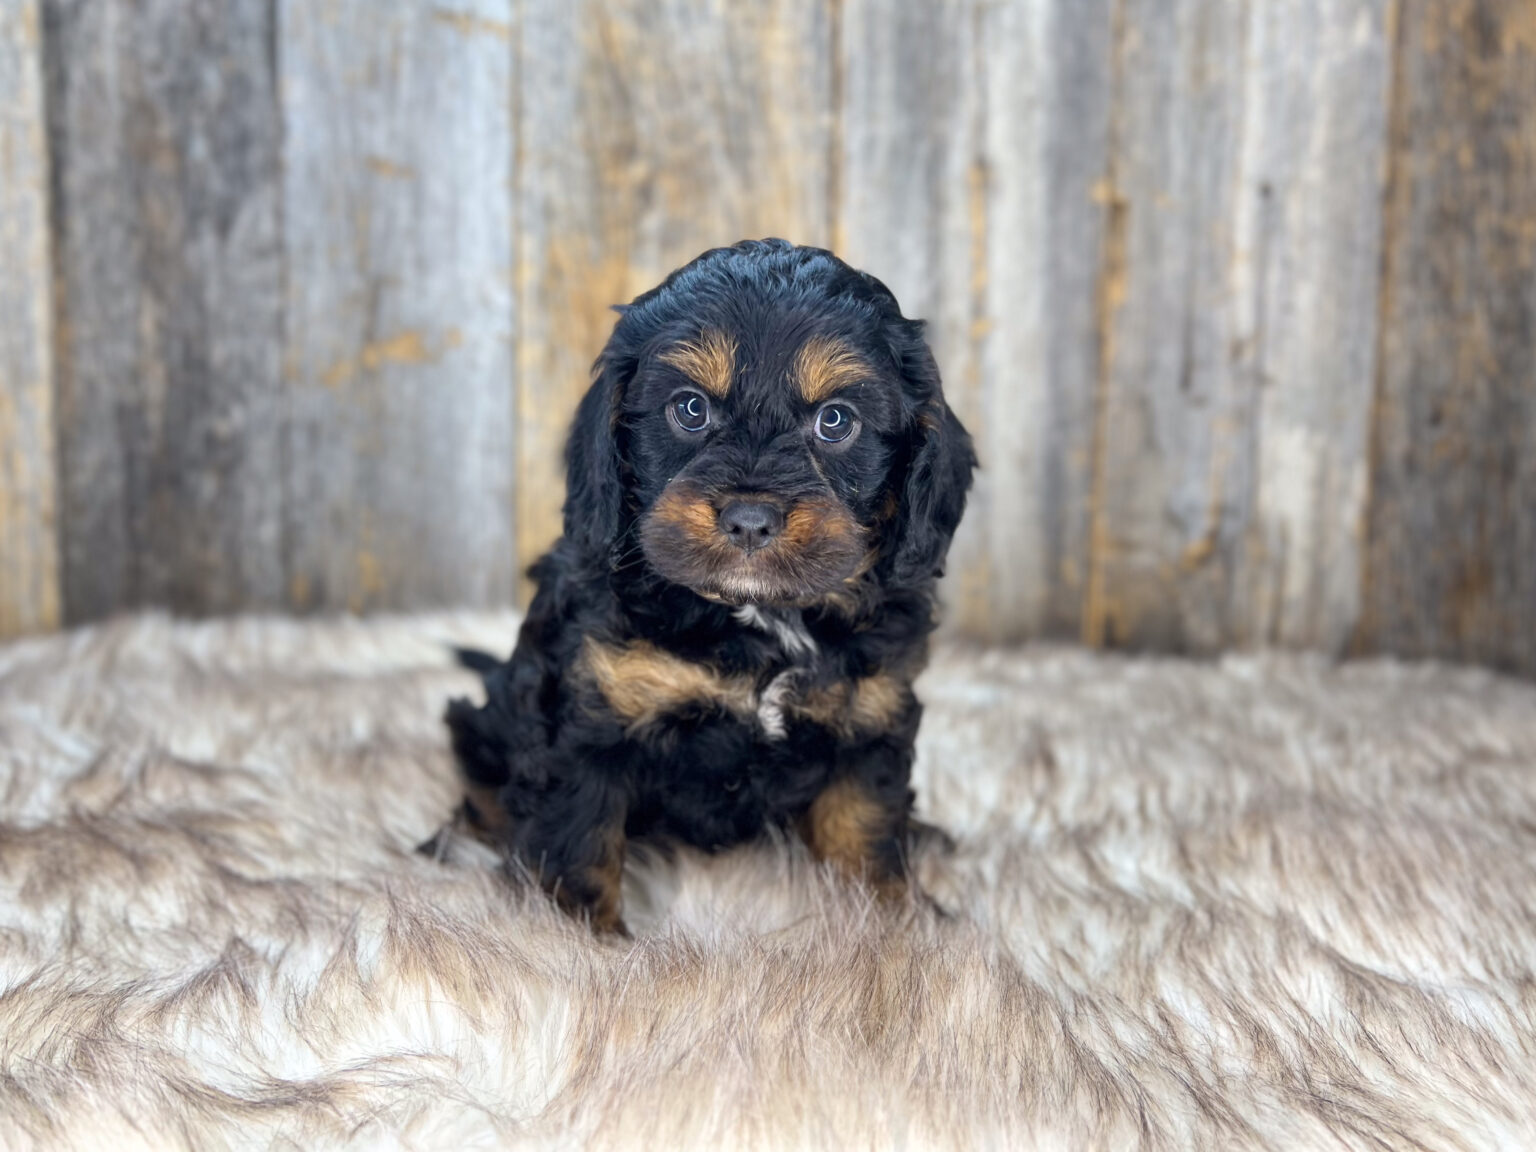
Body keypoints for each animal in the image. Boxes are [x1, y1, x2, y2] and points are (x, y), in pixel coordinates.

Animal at [437, 239, 975, 934]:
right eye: (691, 408)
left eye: (836, 421)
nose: (749, 518)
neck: (756, 619)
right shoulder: (586, 718)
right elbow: (579, 841)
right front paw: (579, 936)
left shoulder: (871, 715)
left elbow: (865, 827)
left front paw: (895, 925)